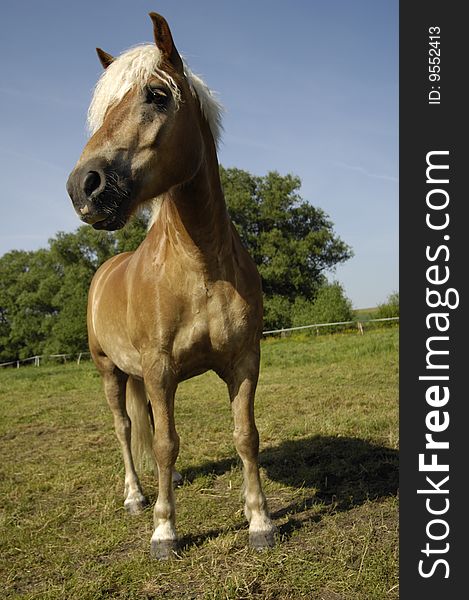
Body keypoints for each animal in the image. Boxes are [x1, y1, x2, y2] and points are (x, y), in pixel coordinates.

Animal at [67, 12, 276, 556]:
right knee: (124, 429)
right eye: (104, 109)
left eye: (157, 96)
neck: (199, 269)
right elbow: (162, 442)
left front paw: (260, 521)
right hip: (110, 371)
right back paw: (137, 497)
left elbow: (245, 435)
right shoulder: (159, 370)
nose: (83, 187)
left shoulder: (243, 361)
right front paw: (165, 530)